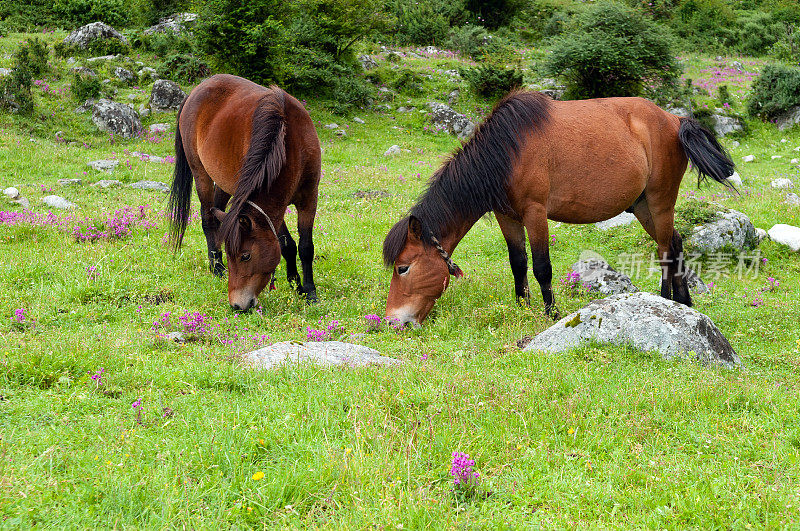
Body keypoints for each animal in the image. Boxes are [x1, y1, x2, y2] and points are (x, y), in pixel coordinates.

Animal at [169, 72, 322, 310]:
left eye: (246, 256)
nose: (237, 305)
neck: (292, 144)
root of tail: (196, 91)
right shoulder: (273, 210)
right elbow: (287, 244)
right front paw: (297, 283)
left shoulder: (309, 199)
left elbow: (305, 247)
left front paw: (306, 289)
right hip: (200, 173)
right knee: (207, 218)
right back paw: (216, 267)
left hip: (224, 184)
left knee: (216, 214)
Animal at [384, 90, 736, 324]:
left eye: (403, 267)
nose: (391, 320)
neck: (506, 152)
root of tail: (675, 119)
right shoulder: (507, 216)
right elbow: (518, 263)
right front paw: (522, 307)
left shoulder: (535, 213)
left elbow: (542, 267)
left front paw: (551, 312)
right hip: (643, 208)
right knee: (675, 244)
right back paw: (684, 303)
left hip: (660, 201)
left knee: (665, 251)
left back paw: (664, 301)